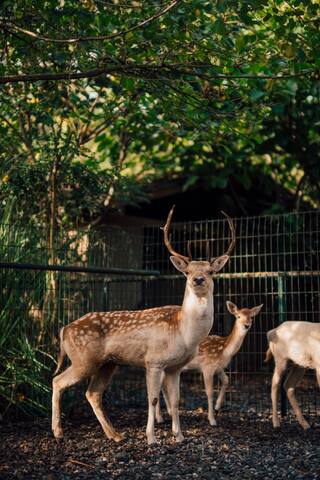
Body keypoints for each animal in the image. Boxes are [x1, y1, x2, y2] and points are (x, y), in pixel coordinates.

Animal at [51, 207, 234, 446]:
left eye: (211, 271)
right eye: (187, 271)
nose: (199, 279)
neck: (184, 333)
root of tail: (64, 329)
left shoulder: (175, 367)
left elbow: (175, 400)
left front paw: (179, 436)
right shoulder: (153, 361)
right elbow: (154, 399)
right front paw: (151, 438)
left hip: (107, 363)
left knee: (92, 393)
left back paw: (115, 435)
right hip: (84, 358)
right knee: (57, 381)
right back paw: (58, 432)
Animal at [156, 298, 264, 426]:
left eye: (251, 317)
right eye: (238, 316)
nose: (246, 325)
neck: (224, 350)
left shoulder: (219, 367)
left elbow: (226, 380)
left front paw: (218, 406)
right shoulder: (207, 367)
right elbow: (209, 392)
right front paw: (212, 419)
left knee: (163, 385)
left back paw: (169, 412)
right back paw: (159, 418)